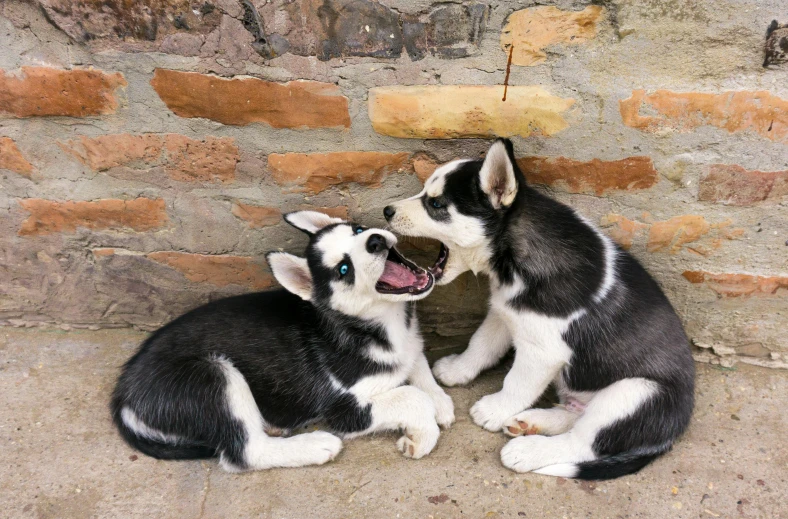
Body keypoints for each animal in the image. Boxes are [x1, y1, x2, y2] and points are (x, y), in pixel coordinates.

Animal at [111, 212, 456, 476]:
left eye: (357, 230)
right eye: (344, 269)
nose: (375, 240)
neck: (380, 322)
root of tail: (122, 394)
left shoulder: (409, 345)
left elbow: (417, 364)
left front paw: (439, 401)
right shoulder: (344, 409)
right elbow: (411, 397)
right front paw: (422, 435)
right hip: (213, 375)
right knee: (244, 452)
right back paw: (314, 445)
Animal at [384, 140, 696, 482]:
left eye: (437, 204)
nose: (387, 210)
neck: (513, 258)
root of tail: (673, 432)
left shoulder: (542, 350)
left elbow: (516, 383)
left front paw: (494, 410)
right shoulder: (505, 311)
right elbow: (481, 345)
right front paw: (457, 370)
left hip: (634, 393)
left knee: (582, 443)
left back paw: (526, 450)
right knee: (574, 417)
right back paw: (529, 423)